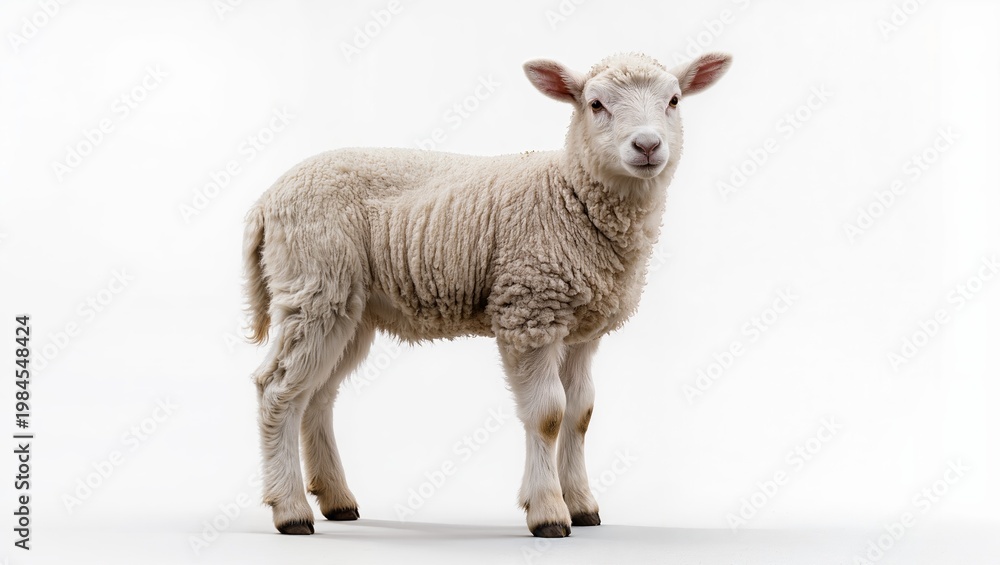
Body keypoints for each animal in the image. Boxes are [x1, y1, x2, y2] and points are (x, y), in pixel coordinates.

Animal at [243, 51, 732, 538]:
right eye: (595, 104)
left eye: (674, 100)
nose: (647, 146)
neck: (570, 192)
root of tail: (267, 199)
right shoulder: (530, 309)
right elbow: (548, 415)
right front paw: (548, 511)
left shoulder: (581, 330)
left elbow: (580, 414)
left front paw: (581, 505)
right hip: (315, 284)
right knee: (278, 390)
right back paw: (290, 510)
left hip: (351, 308)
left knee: (316, 396)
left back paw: (336, 499)